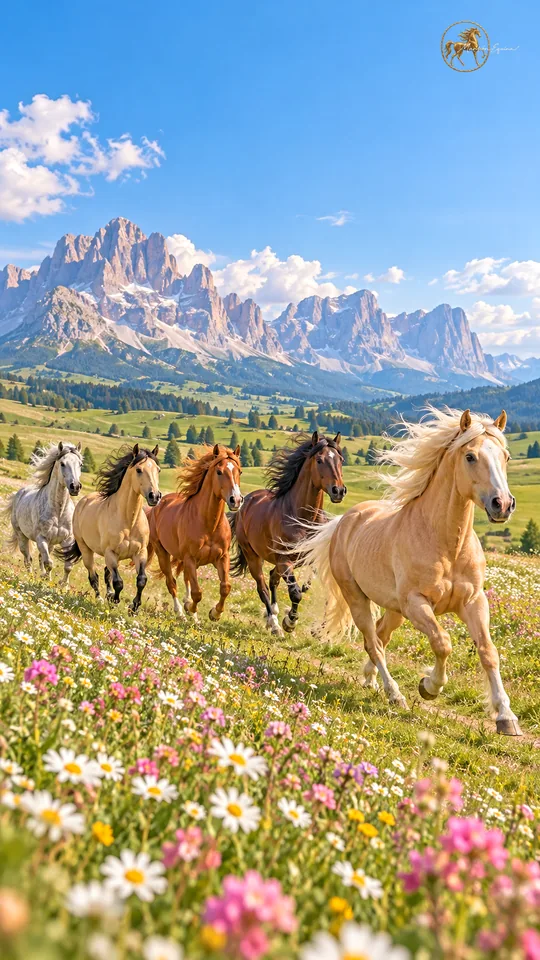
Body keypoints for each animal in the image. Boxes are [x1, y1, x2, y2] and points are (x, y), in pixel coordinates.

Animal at [1, 441, 83, 584]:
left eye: (80, 464)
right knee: (28, 559)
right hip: (22, 536)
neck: (59, 512)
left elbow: (68, 566)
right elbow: (49, 563)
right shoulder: (41, 539)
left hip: (50, 543)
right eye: (62, 463)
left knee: (40, 558)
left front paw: (63, 584)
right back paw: (30, 577)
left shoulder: (67, 540)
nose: (75, 487)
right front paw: (47, 579)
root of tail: (19, 494)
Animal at [58, 444, 161, 612]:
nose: (155, 496)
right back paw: (100, 598)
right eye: (139, 470)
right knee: (94, 576)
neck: (128, 521)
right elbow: (118, 582)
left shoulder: (140, 553)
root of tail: (83, 501)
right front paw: (114, 600)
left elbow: (141, 580)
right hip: (86, 550)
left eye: (158, 470)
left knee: (107, 573)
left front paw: (134, 607)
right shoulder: (110, 553)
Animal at [147, 444, 243, 621]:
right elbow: (197, 593)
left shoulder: (222, 557)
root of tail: (158, 505)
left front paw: (215, 613)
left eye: (239, 472)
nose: (236, 500)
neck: (209, 524)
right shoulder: (190, 559)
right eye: (219, 472)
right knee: (172, 583)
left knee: (185, 579)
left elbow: (225, 587)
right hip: (162, 552)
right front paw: (191, 608)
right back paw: (181, 612)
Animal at [229, 431, 346, 636]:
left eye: (340, 459)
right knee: (262, 587)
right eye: (319, 460)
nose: (338, 491)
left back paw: (275, 613)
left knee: (272, 578)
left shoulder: (312, 560)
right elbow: (296, 593)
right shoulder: (285, 561)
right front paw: (290, 621)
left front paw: (319, 629)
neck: (302, 519)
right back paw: (274, 623)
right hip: (254, 557)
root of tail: (246, 501)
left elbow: (318, 591)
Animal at [294, 408, 522, 736]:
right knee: (373, 643)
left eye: (505, 456)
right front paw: (429, 686)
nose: (502, 504)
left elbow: (489, 652)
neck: (446, 545)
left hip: (394, 610)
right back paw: (394, 694)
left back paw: (370, 679)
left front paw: (506, 717)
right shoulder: (417, 603)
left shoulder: (474, 602)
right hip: (359, 598)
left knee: (379, 636)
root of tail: (344, 521)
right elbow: (442, 643)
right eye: (470, 456)